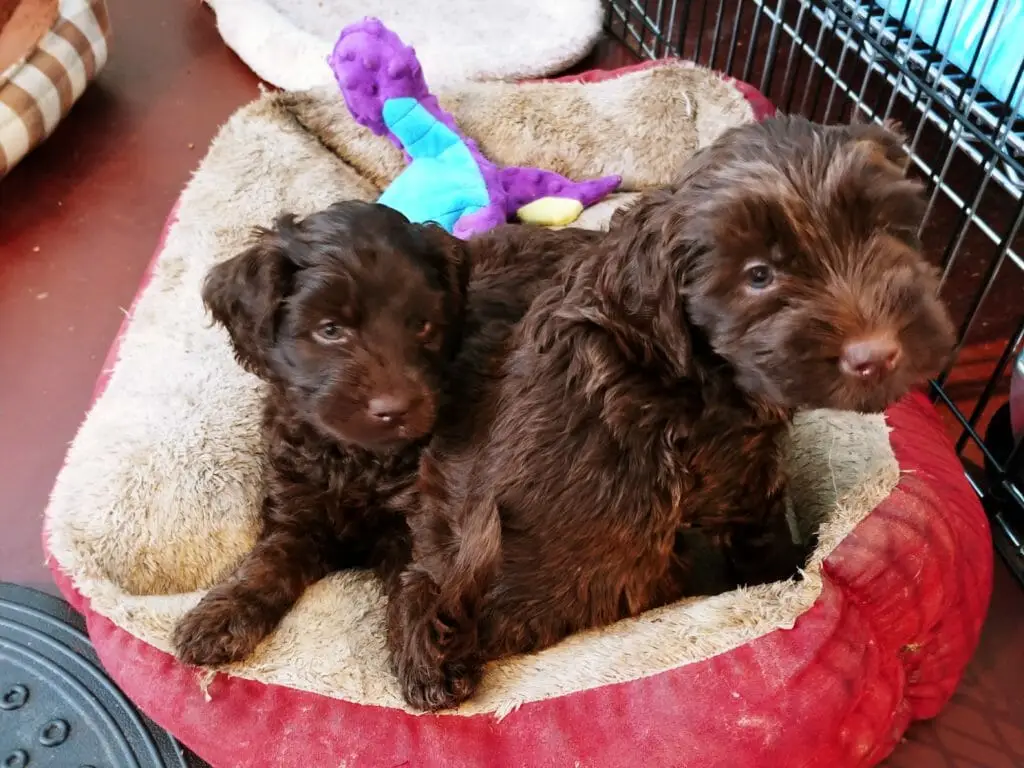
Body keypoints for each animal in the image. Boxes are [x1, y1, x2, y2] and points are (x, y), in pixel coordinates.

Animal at [173, 199, 602, 667]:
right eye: (329, 329)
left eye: (422, 326)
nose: (395, 409)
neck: (357, 458)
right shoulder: (297, 503)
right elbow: (268, 560)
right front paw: (223, 615)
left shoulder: (424, 510)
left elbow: (419, 572)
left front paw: (427, 653)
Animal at [387, 117, 954, 712]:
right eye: (758, 276)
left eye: (884, 230)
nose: (877, 355)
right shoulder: (735, 470)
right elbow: (764, 535)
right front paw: (796, 569)